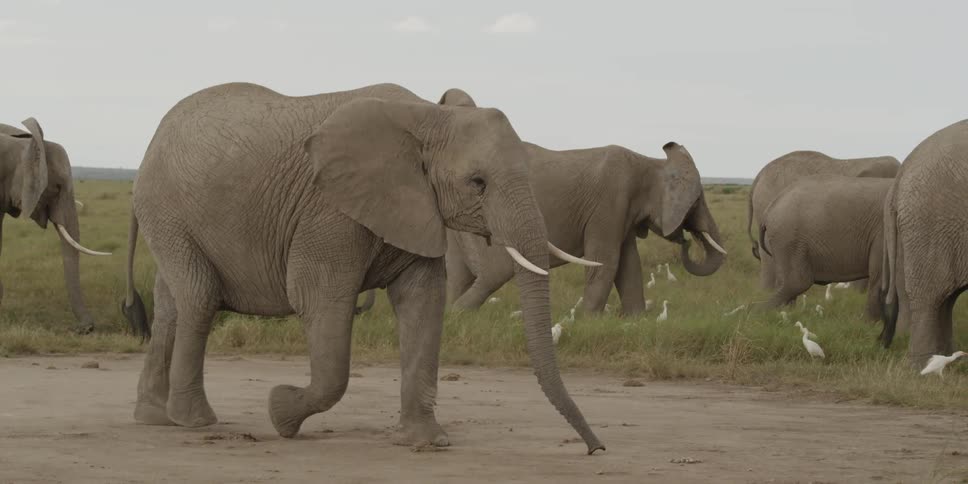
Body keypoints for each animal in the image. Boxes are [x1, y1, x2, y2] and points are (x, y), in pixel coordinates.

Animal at [121, 82, 604, 453]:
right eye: (477, 183)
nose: (595, 448)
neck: (427, 116)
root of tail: (151, 143)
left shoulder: (417, 207)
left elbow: (423, 303)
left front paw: (426, 442)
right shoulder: (328, 211)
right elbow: (318, 299)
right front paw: (280, 413)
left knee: (173, 304)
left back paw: (154, 418)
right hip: (167, 211)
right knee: (199, 299)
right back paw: (195, 422)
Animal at [439, 88, 727, 315]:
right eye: (697, 201)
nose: (686, 241)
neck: (649, 163)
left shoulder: (623, 212)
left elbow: (629, 265)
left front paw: (635, 320)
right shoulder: (610, 203)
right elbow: (606, 260)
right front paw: (588, 320)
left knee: (460, 274)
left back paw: (453, 315)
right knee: (494, 270)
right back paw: (459, 313)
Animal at [758, 174, 893, 319]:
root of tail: (769, 208)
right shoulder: (883, 231)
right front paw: (870, 323)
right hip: (788, 237)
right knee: (797, 282)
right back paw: (758, 311)